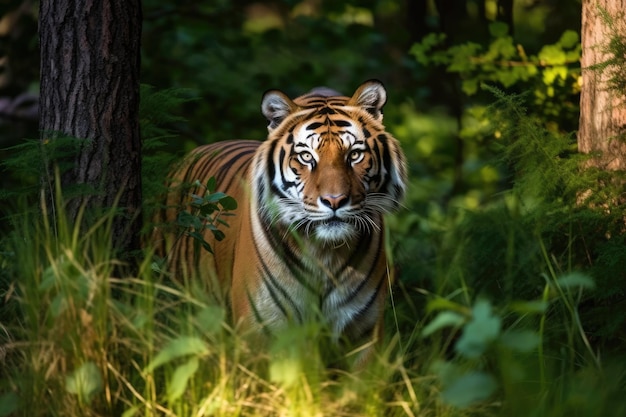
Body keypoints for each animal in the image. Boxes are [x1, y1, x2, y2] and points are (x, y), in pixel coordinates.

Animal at [157, 79, 404, 366]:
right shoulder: (259, 326)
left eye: (354, 155)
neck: (325, 255)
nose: (335, 201)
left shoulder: (365, 332)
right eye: (306, 157)